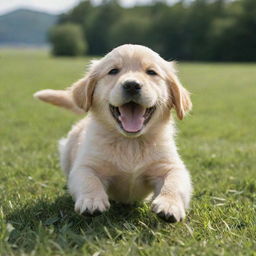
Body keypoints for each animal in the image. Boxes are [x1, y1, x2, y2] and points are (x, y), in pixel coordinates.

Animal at [35, 44, 193, 222]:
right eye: (113, 71)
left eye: (151, 72)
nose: (132, 85)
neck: (131, 143)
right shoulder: (86, 165)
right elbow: (88, 179)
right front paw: (92, 200)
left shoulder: (170, 165)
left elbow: (174, 182)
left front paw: (169, 205)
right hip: (66, 150)